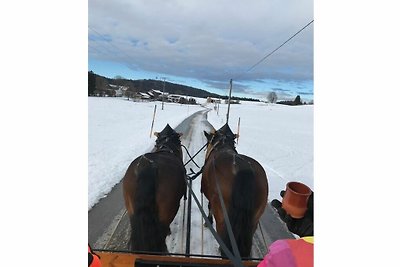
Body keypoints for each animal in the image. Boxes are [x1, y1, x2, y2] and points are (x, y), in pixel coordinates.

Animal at [203, 124, 268, 260]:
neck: (221, 146)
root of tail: (244, 169)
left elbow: (209, 206)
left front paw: (208, 221)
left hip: (222, 217)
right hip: (254, 220)